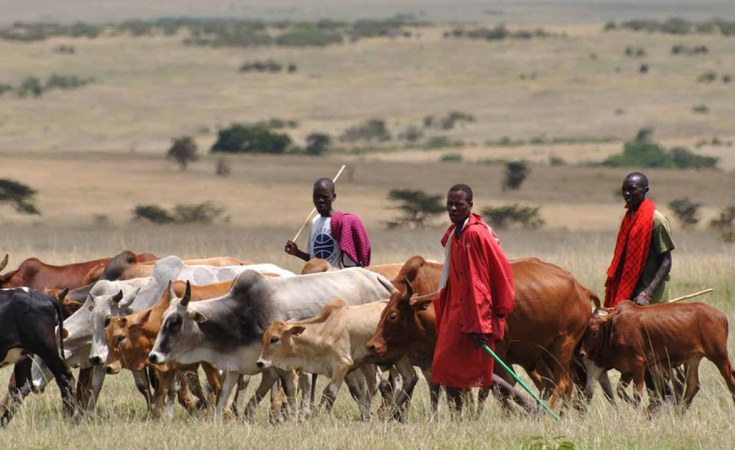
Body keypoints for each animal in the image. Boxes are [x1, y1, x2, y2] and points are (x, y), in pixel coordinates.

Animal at [147, 268, 397, 417]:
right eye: (162, 319)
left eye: (175, 322)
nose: (153, 356)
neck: (241, 315)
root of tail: (376, 277)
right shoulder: (236, 367)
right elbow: (225, 399)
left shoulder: (280, 366)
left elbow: (289, 392)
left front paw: (295, 418)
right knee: (365, 386)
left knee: (377, 383)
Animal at [367, 257, 596, 416]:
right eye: (382, 311)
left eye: (393, 315)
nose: (372, 346)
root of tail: (581, 289)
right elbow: (463, 391)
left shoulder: (497, 355)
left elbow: (496, 388)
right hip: (546, 354)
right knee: (561, 385)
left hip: (562, 347)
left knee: (562, 384)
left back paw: (545, 413)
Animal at [578, 300, 735, 413]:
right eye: (583, 330)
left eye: (594, 332)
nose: (581, 353)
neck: (613, 329)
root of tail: (721, 316)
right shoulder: (627, 370)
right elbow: (620, 391)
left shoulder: (639, 365)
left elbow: (637, 395)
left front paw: (640, 411)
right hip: (693, 359)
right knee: (692, 386)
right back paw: (679, 413)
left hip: (719, 356)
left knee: (730, 381)